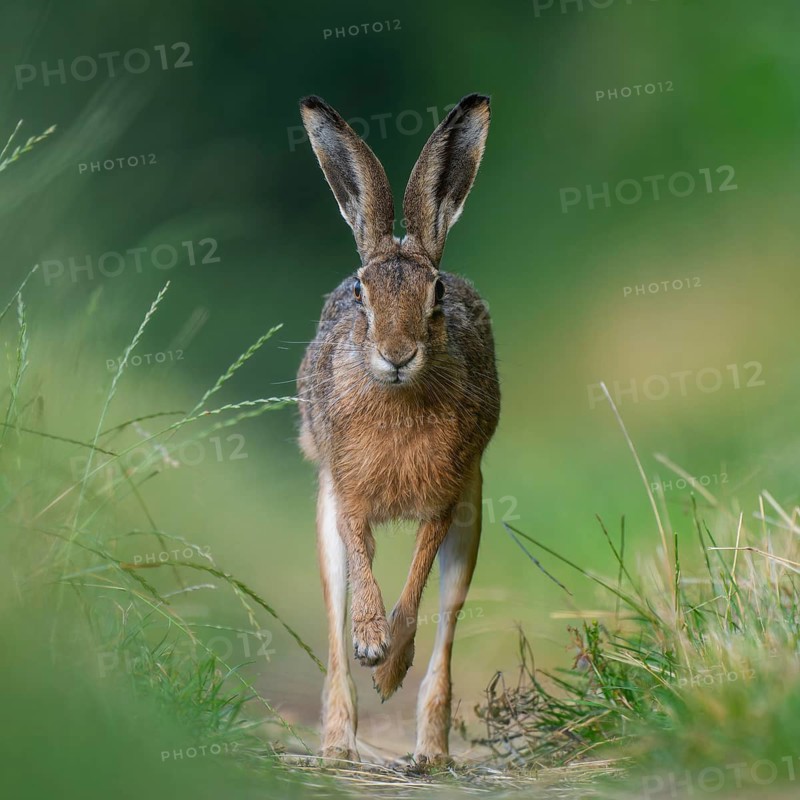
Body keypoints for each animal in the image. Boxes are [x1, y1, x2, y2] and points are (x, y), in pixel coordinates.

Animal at [297, 93, 500, 765]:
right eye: (362, 293)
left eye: (435, 292)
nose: (396, 355)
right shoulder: (347, 495)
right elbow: (362, 569)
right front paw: (370, 641)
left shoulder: (446, 501)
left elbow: (414, 594)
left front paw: (388, 666)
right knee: (334, 612)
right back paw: (338, 746)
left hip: (472, 519)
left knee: (447, 624)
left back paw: (430, 749)